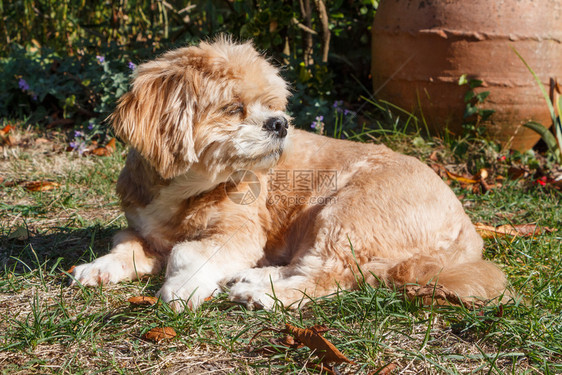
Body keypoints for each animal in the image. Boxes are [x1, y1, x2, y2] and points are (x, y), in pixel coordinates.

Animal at [69, 37, 504, 312]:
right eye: (234, 108)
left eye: (273, 104)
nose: (279, 123)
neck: (188, 190)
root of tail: (467, 233)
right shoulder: (142, 229)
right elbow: (126, 247)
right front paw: (99, 267)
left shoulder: (239, 232)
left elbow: (190, 252)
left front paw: (184, 285)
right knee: (306, 266)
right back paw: (251, 279)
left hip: (345, 213)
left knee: (328, 276)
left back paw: (263, 295)